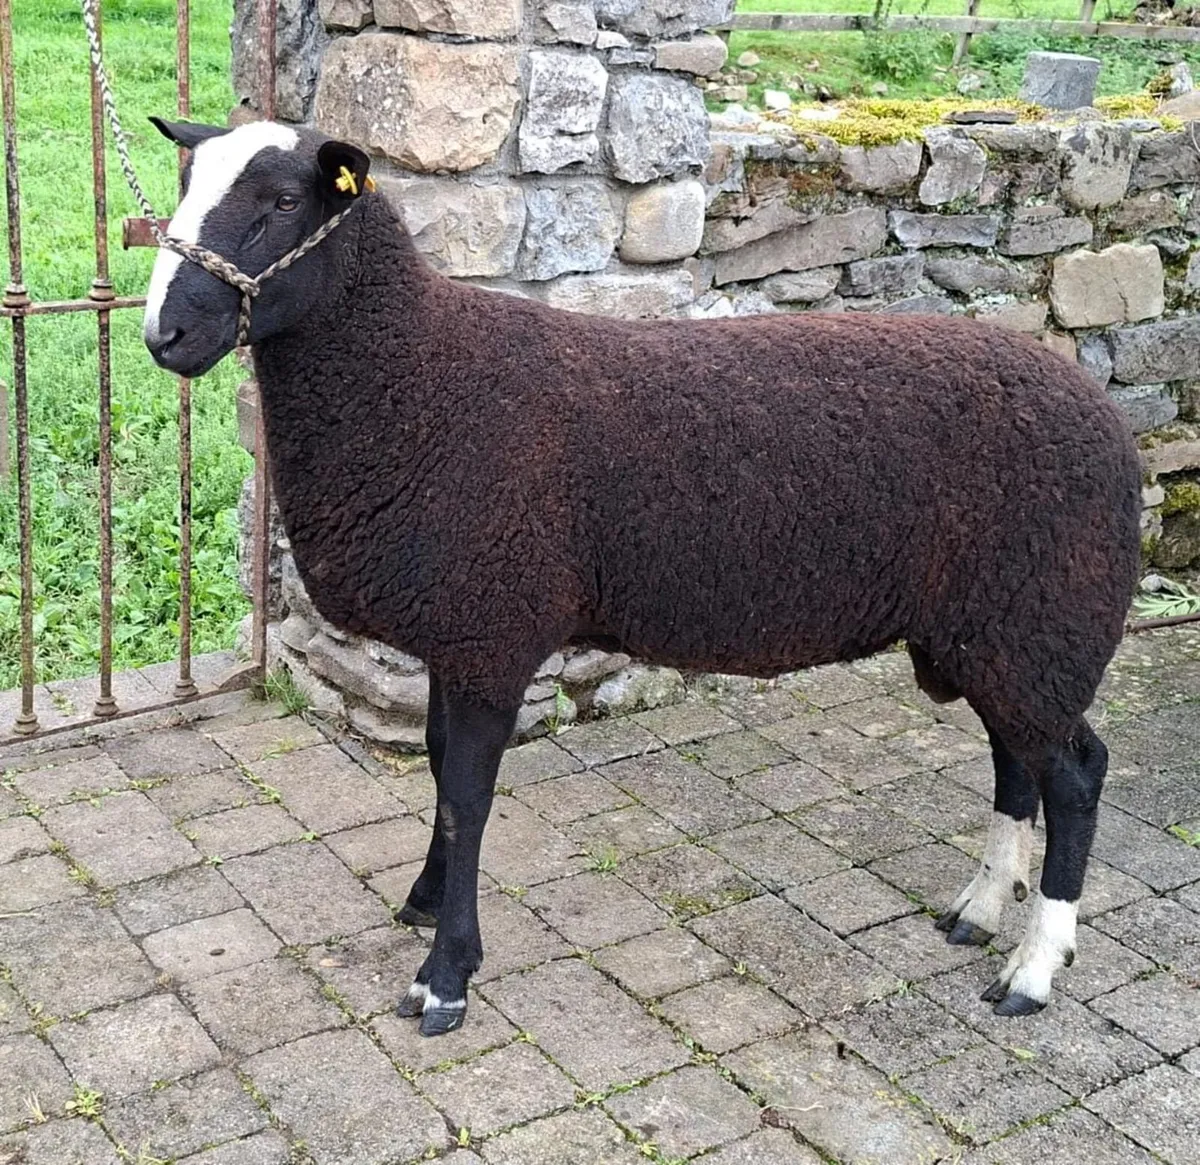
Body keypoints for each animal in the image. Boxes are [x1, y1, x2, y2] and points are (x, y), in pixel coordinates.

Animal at [143, 117, 1142, 1039]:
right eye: (185, 183)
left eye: (283, 202)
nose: (166, 334)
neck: (416, 377)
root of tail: (1103, 416)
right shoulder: (460, 630)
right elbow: (435, 768)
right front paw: (427, 900)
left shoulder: (493, 628)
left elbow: (467, 796)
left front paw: (446, 976)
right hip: (994, 632)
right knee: (1018, 762)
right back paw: (978, 909)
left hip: (1041, 616)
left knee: (1076, 776)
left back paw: (1033, 967)